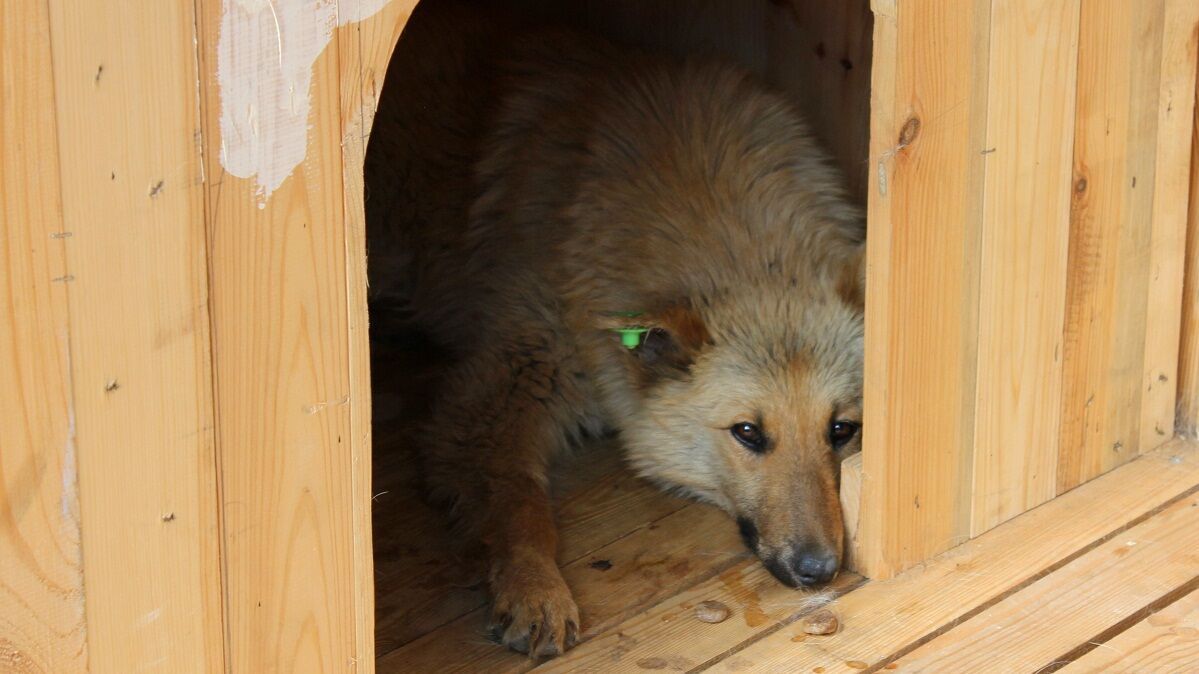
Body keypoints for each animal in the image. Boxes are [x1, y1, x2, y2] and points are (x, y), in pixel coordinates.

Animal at [362, 5, 863, 657]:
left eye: (841, 430)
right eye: (748, 433)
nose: (818, 571)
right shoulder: (494, 397)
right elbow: (521, 504)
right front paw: (534, 587)